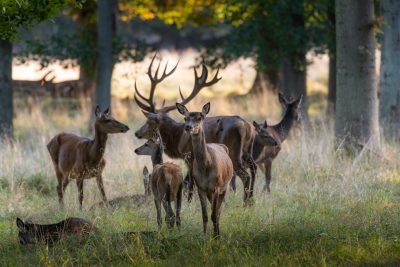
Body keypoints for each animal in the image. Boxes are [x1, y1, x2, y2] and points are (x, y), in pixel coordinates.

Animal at [134, 55, 258, 205]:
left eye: (149, 121)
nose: (137, 133)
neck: (177, 138)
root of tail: (246, 126)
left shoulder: (189, 156)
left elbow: (189, 183)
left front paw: (188, 202)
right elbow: (187, 182)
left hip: (234, 151)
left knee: (245, 175)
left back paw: (245, 202)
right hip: (247, 150)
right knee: (254, 168)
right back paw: (251, 200)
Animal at [176, 103, 233, 239]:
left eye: (200, 117)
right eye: (185, 118)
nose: (188, 127)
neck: (206, 167)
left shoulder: (216, 187)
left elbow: (214, 215)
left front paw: (216, 238)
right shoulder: (200, 187)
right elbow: (205, 216)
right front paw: (204, 236)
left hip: (224, 187)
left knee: (218, 212)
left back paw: (218, 233)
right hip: (209, 192)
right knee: (215, 211)